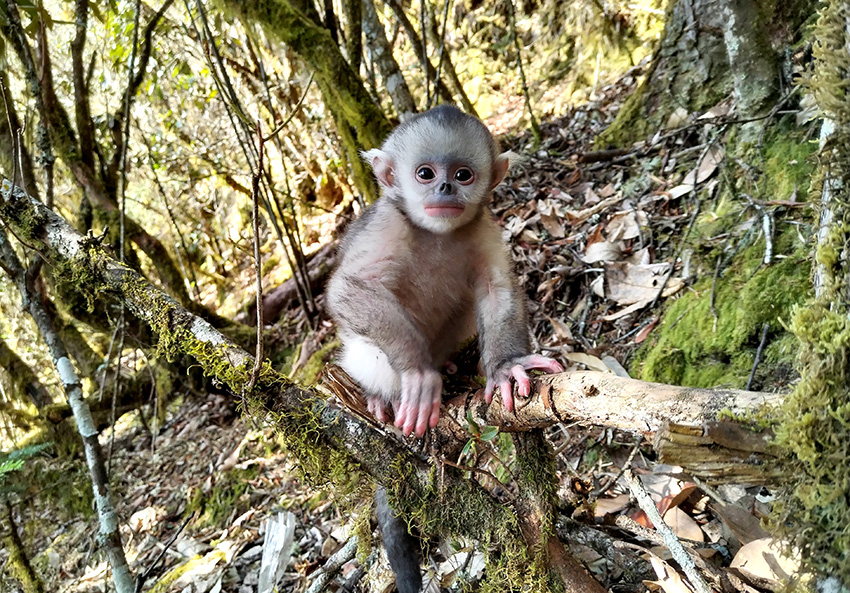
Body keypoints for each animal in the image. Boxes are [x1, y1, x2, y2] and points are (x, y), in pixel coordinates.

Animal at [326, 105, 563, 593]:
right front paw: (419, 374)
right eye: (425, 173)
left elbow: (496, 288)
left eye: (463, 174)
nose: (445, 189)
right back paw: (384, 392)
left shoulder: (482, 226)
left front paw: (505, 366)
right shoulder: (386, 225)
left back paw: (450, 365)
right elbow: (348, 289)